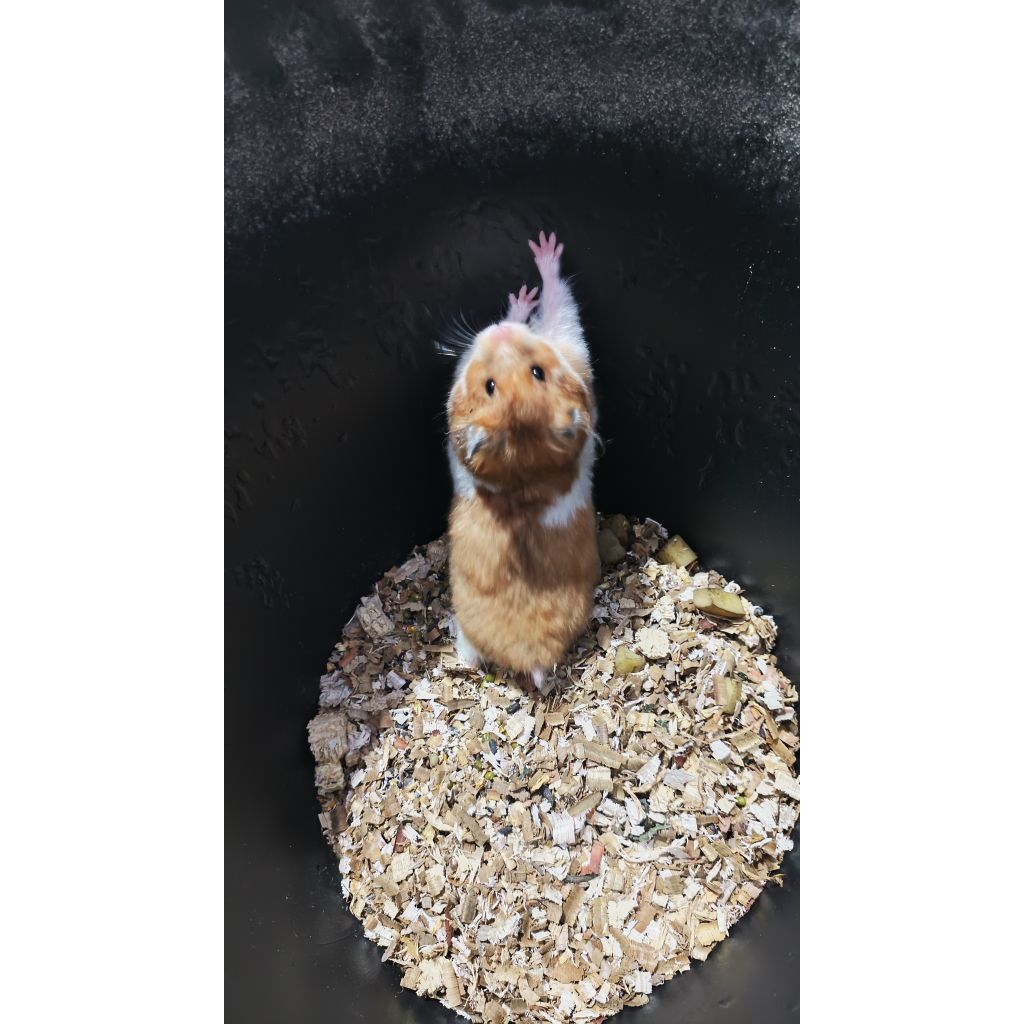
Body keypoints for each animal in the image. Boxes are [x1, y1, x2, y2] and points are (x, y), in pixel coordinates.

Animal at [445, 231, 600, 688]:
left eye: (537, 371)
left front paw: (542, 254)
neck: (525, 470)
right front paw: (526, 290)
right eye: (491, 386)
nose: (497, 332)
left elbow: (558, 306)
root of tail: (532, 660)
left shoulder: (569, 347)